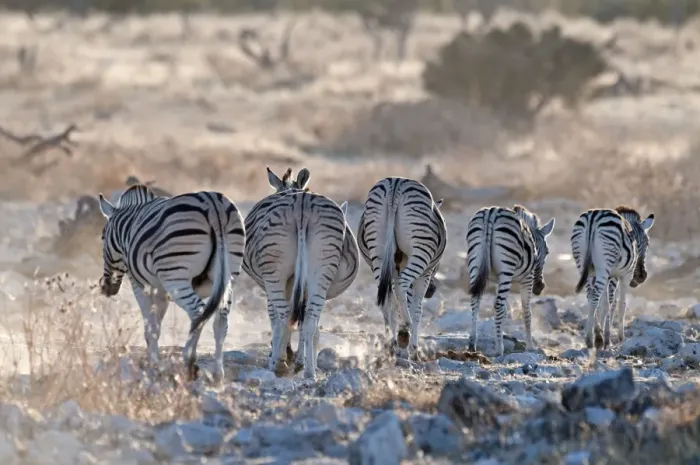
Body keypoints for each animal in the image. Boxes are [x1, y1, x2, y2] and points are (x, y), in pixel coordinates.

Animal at [98, 184, 245, 383]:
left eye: (102, 238)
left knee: (198, 312)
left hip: (176, 276)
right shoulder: (161, 291)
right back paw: (217, 373)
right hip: (229, 276)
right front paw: (154, 361)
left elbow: (150, 326)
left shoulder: (142, 286)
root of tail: (214, 206)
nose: (106, 288)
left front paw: (153, 364)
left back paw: (189, 361)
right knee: (221, 318)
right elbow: (156, 327)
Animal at [242, 167, 358, 380]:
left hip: (275, 273)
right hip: (321, 270)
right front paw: (299, 359)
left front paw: (283, 355)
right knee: (310, 320)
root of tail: (302, 205)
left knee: (283, 316)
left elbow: (275, 318)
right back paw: (309, 372)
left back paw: (279, 364)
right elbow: (307, 324)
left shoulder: (276, 285)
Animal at [357, 177, 447, 360]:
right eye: (438, 267)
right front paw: (413, 349)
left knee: (386, 299)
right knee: (401, 286)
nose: (432, 291)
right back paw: (405, 330)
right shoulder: (425, 274)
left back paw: (392, 343)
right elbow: (417, 309)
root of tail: (395, 184)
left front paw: (400, 346)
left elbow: (397, 305)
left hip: (378, 253)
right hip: (421, 250)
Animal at [467, 205, 555, 356]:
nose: (540, 287)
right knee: (497, 305)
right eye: (547, 252)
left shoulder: (498, 281)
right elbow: (527, 312)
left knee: (475, 301)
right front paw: (530, 346)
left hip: (476, 263)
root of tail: (491, 213)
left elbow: (504, 312)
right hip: (507, 267)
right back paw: (499, 349)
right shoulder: (528, 278)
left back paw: (473, 344)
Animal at [571, 206, 655, 349]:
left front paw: (604, 336)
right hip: (604, 265)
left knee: (591, 296)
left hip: (584, 266)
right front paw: (618, 338)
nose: (641, 276)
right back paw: (591, 339)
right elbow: (619, 304)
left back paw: (595, 336)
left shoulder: (607, 277)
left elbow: (604, 304)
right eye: (647, 243)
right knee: (595, 297)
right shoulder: (623, 275)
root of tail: (593, 217)